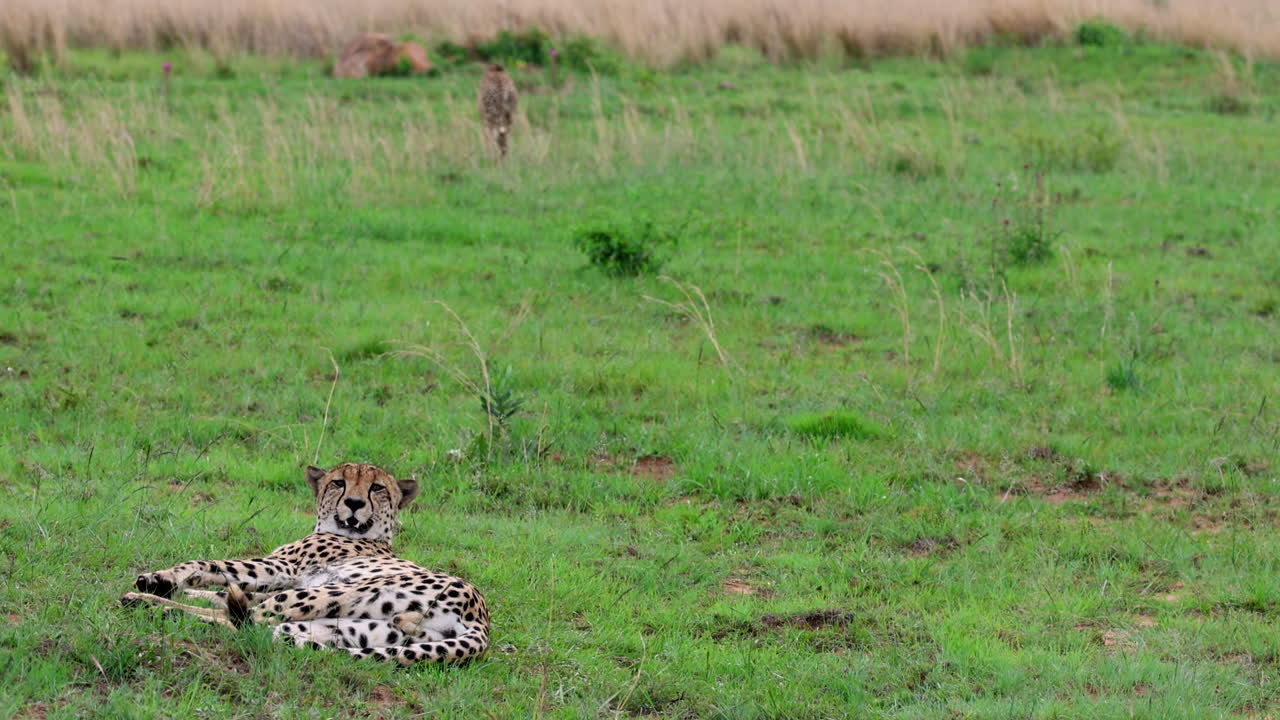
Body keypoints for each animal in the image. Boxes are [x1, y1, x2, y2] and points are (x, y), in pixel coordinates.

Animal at [121, 462, 490, 665]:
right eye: (339, 483)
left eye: (377, 489)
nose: (354, 503)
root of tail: (481, 618)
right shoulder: (283, 579)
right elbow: (220, 589)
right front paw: (166, 584)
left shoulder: (284, 570)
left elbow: (211, 565)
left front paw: (160, 578)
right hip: (354, 629)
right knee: (254, 626)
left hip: (336, 591)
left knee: (243, 620)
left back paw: (144, 603)